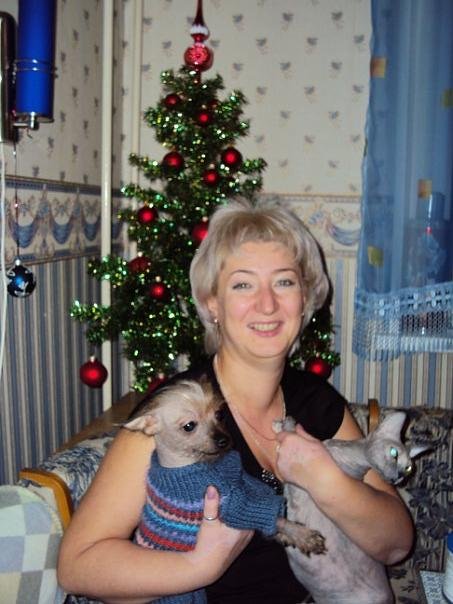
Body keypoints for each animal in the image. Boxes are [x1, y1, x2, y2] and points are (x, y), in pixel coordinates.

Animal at [124, 377, 326, 603]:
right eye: (189, 426)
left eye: (219, 415)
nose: (224, 441)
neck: (203, 464)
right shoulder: (237, 508)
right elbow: (276, 519)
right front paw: (302, 535)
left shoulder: (245, 485)